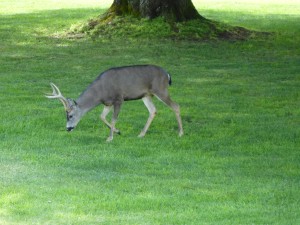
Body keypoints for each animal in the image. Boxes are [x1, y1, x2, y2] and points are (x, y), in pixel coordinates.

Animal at [45, 64, 184, 142]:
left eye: (70, 115)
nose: (68, 128)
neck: (100, 93)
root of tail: (167, 74)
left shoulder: (118, 99)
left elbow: (113, 119)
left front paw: (110, 138)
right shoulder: (107, 103)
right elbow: (101, 116)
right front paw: (118, 131)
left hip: (160, 89)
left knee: (176, 106)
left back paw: (180, 133)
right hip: (146, 95)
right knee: (153, 110)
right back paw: (141, 134)